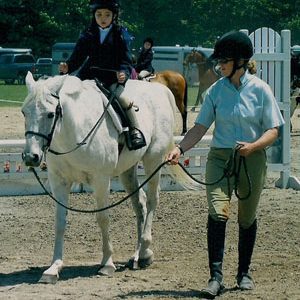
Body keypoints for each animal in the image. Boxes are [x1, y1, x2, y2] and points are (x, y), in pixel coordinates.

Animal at [21, 72, 199, 284]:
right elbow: (60, 222)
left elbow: (103, 218)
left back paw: (145, 252)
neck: (74, 133)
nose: (31, 157)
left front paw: (107, 263)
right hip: (127, 171)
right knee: (140, 204)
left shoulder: (101, 181)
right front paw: (53, 268)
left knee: (152, 200)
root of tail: (159, 89)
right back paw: (137, 255)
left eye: (50, 114)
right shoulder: (59, 182)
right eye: (24, 112)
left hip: (153, 161)